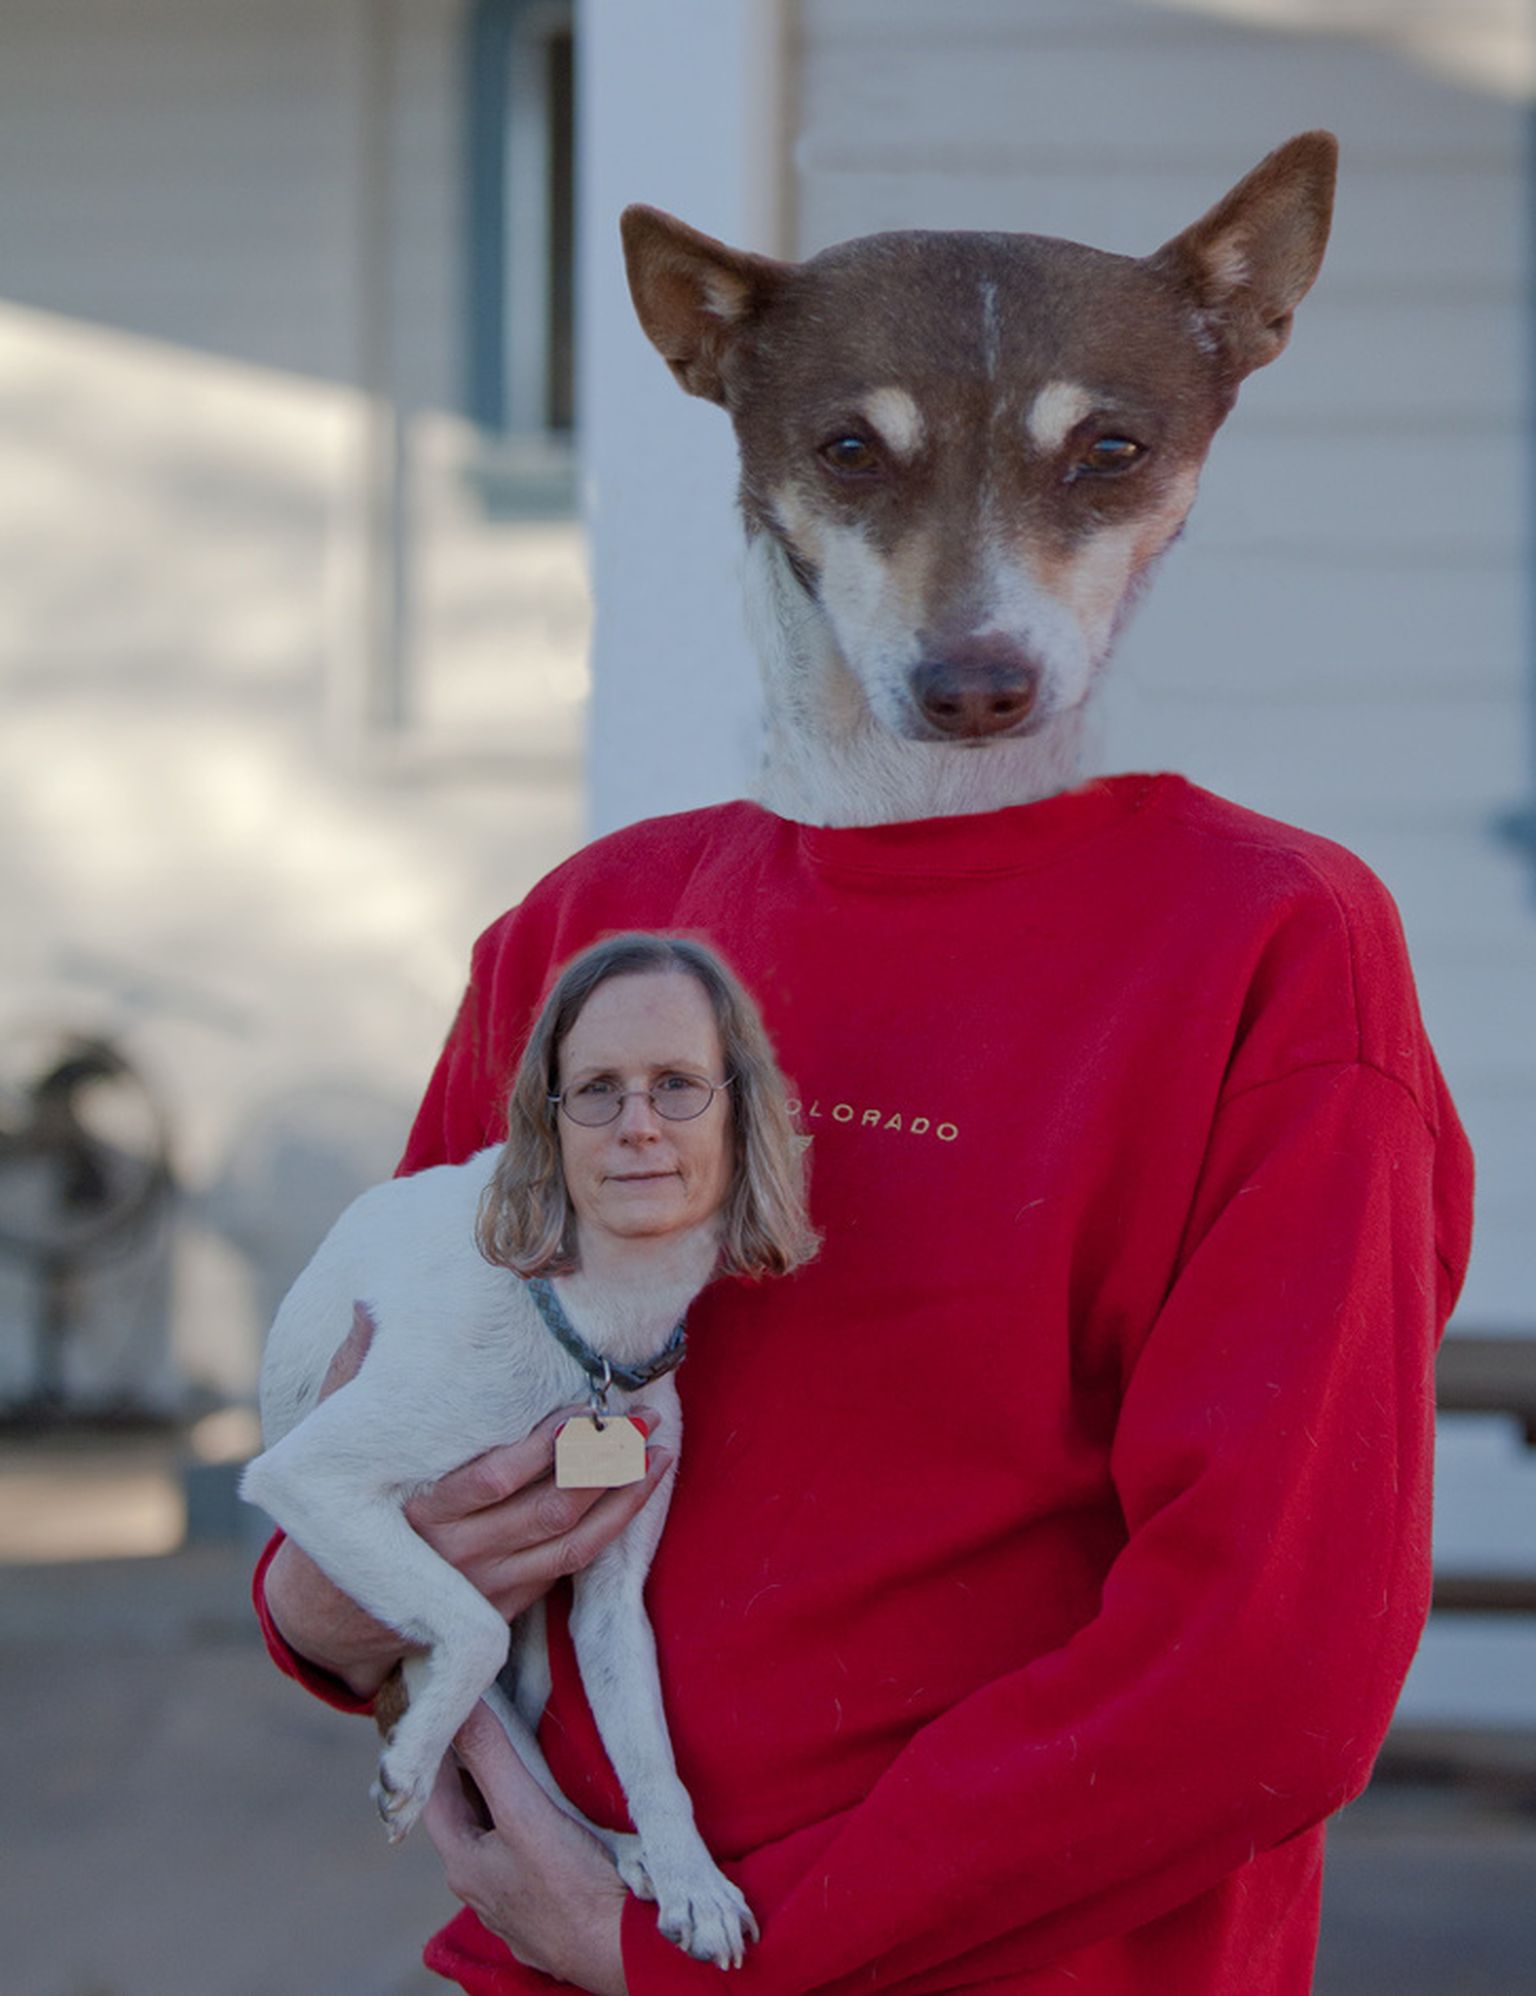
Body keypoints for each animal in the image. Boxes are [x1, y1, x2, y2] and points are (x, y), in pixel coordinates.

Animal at [242, 934, 813, 1964]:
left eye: (678, 1086)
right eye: (595, 1091)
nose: (639, 1144)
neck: (593, 1328)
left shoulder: (611, 1605)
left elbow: (650, 1752)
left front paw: (692, 1878)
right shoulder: (312, 1478)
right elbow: (471, 1625)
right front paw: (407, 1777)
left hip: (540, 1672)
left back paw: (627, 1851)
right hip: (446, 1677)